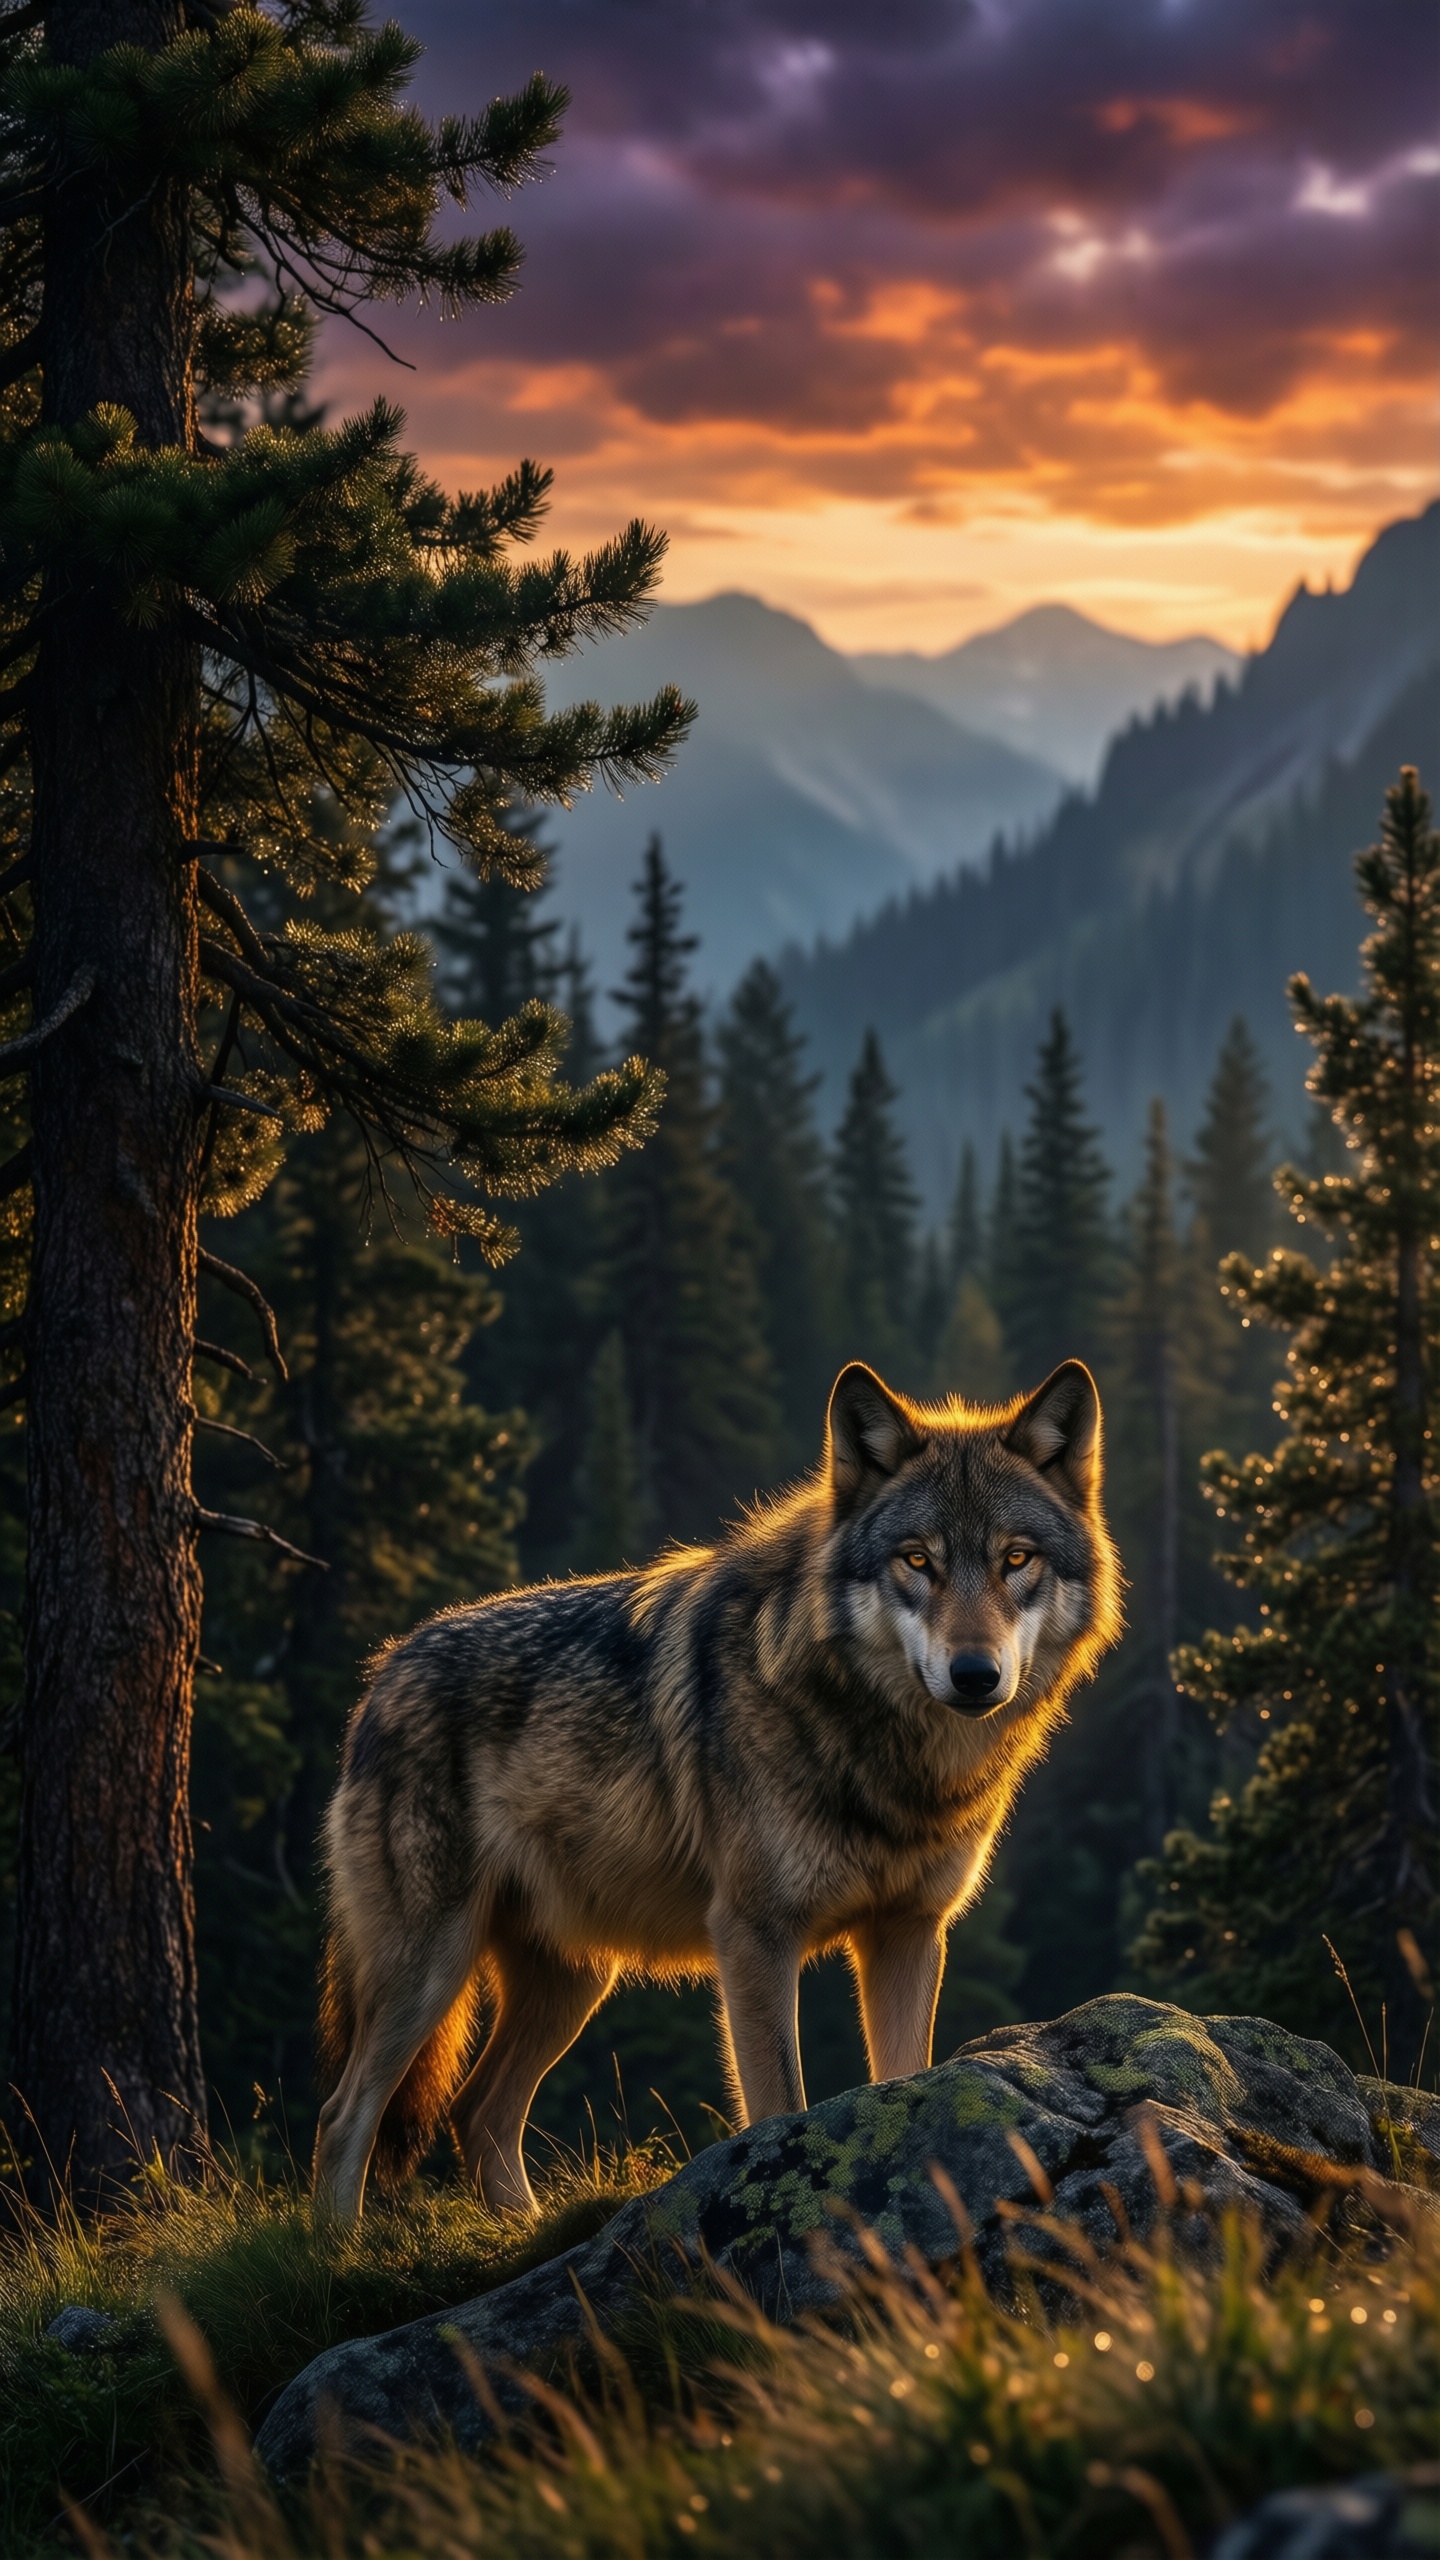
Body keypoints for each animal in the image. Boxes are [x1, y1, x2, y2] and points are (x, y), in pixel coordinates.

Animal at [313, 1358, 1121, 2220]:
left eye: (1016, 1559)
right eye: (916, 1560)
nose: (974, 1675)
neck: (886, 1754)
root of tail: (382, 1676)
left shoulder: (907, 1933)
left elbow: (904, 2080)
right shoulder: (754, 1935)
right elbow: (778, 2108)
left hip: (572, 1980)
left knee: (478, 2109)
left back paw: (524, 2228)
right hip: (429, 1968)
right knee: (344, 2114)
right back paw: (337, 2249)